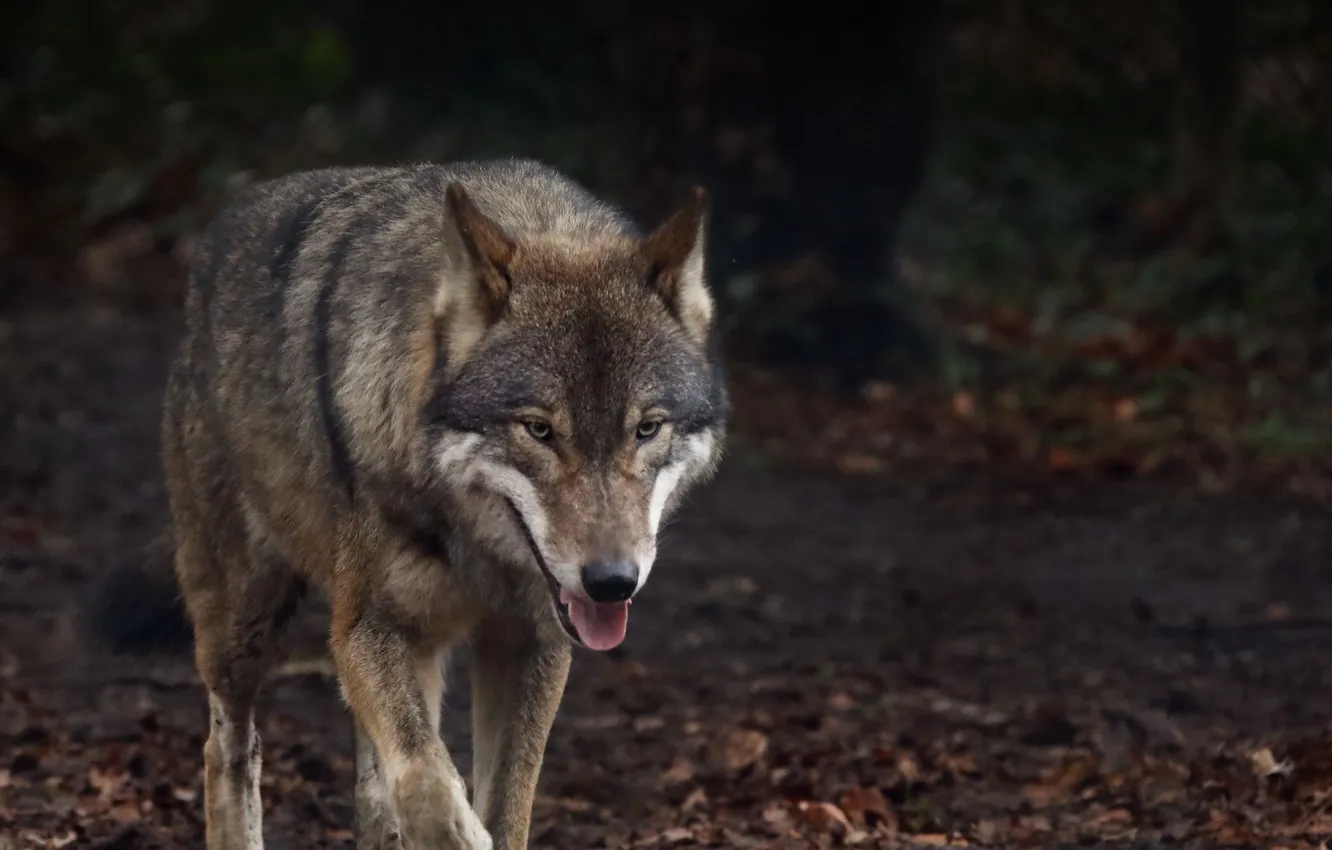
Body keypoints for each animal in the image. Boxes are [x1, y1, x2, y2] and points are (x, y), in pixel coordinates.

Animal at [82, 159, 728, 850]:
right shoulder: (366, 630)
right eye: (538, 430)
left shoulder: (533, 642)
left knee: (370, 787)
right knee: (229, 749)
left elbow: (500, 801)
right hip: (241, 629)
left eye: (647, 428)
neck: (472, 546)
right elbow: (426, 781)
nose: (612, 582)